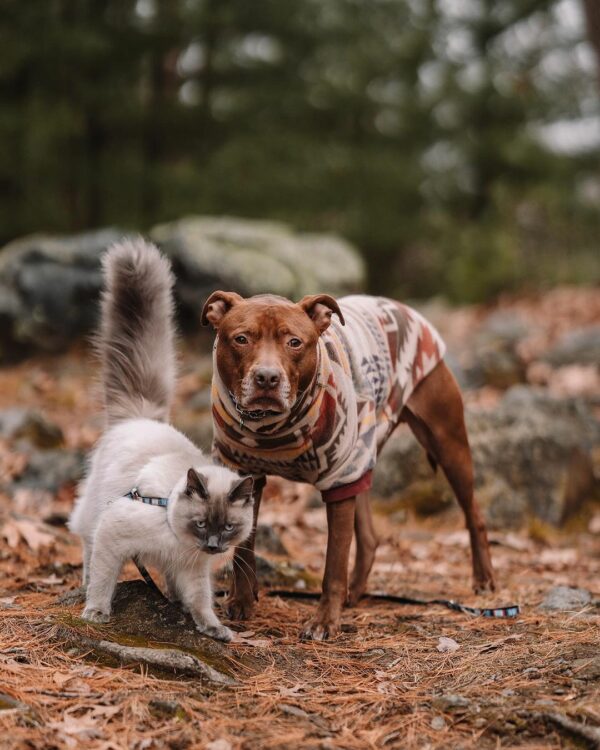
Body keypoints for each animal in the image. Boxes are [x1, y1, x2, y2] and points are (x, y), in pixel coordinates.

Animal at [69, 238, 254, 644]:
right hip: (92, 513)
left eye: (227, 527)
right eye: (201, 523)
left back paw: (173, 599)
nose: (213, 545)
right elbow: (104, 581)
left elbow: (202, 600)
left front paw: (212, 628)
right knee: (87, 548)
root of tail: (141, 417)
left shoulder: (193, 567)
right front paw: (96, 612)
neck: (177, 539)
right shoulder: (113, 536)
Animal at [199, 292, 494, 640]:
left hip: (447, 444)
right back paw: (355, 592)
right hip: (364, 454)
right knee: (368, 536)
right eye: (241, 339)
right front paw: (242, 601)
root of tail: (400, 306)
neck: (273, 429)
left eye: (295, 342)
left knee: (473, 514)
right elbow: (245, 547)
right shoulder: (244, 473)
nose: (267, 378)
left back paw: (483, 578)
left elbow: (334, 562)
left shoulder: (339, 480)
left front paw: (325, 621)